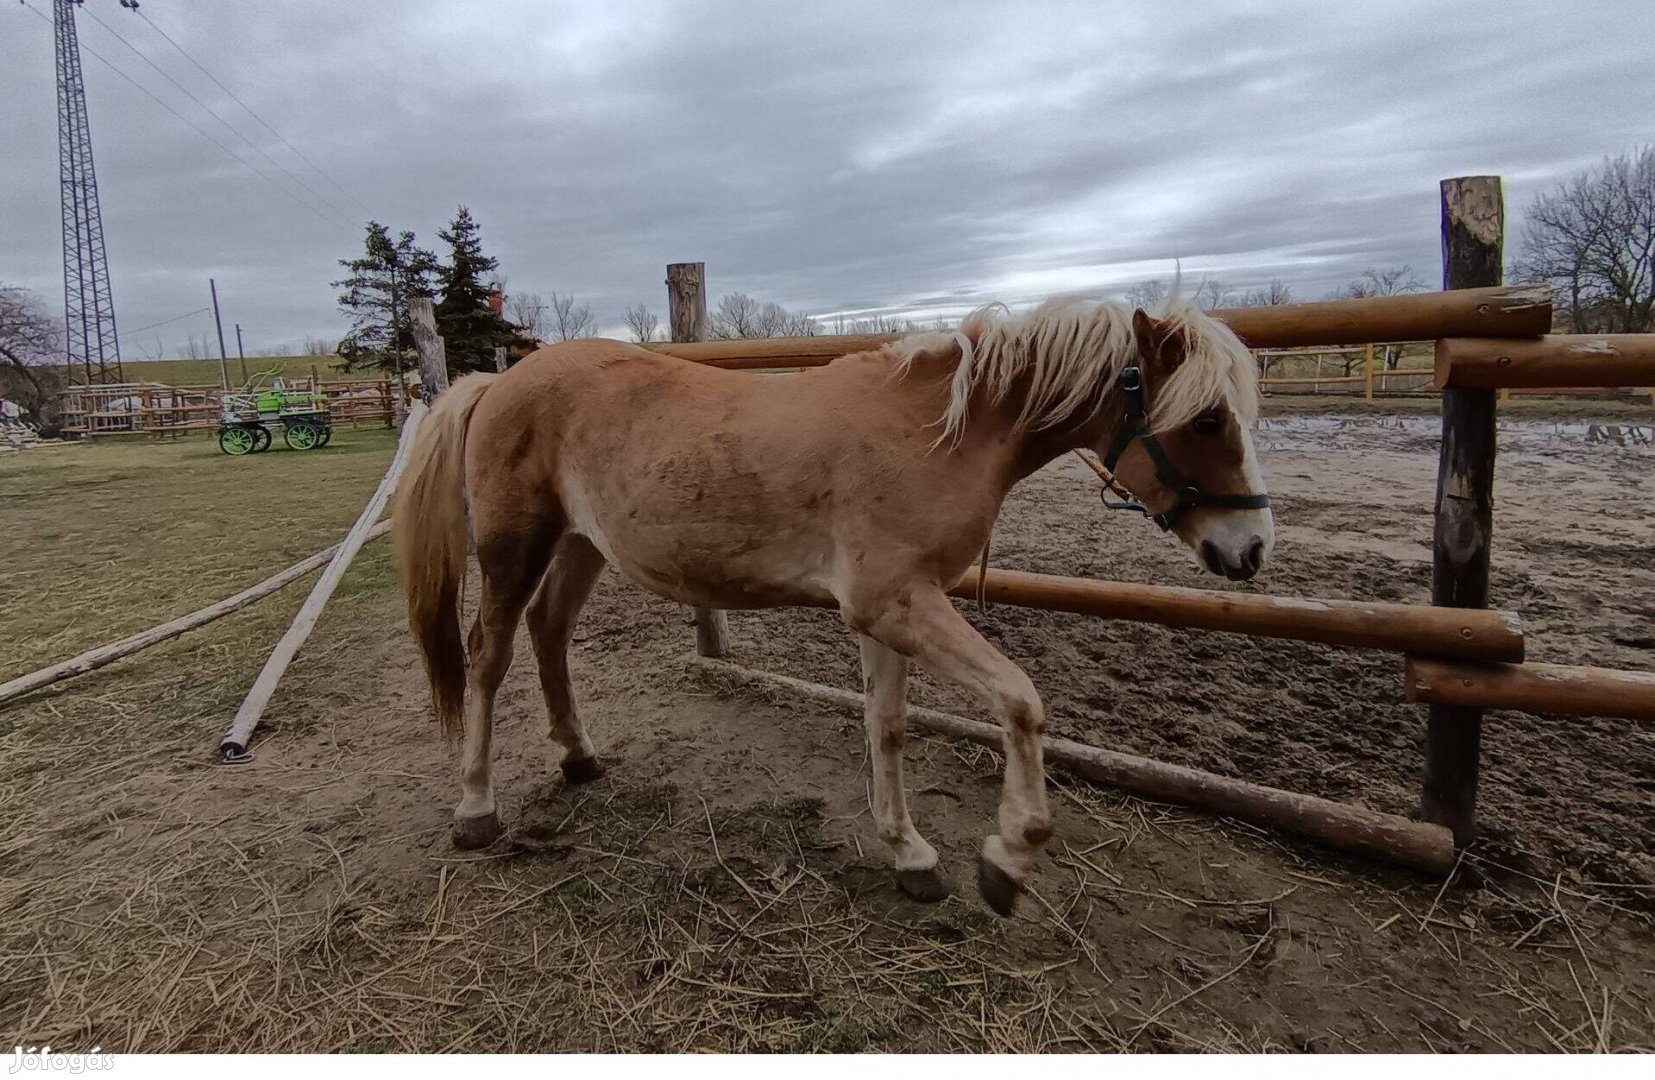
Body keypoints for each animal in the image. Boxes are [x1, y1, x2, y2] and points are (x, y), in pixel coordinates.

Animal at [393, 299, 1271, 912]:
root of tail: (498, 382)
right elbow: (1021, 704)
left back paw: (578, 757)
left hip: (582, 544)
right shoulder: (893, 603)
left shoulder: (889, 615)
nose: (1251, 549)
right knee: (489, 656)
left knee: (550, 633)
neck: (932, 433)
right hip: (514, 546)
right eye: (1205, 419)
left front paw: (910, 854)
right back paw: (476, 808)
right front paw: (1008, 859)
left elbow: (886, 727)